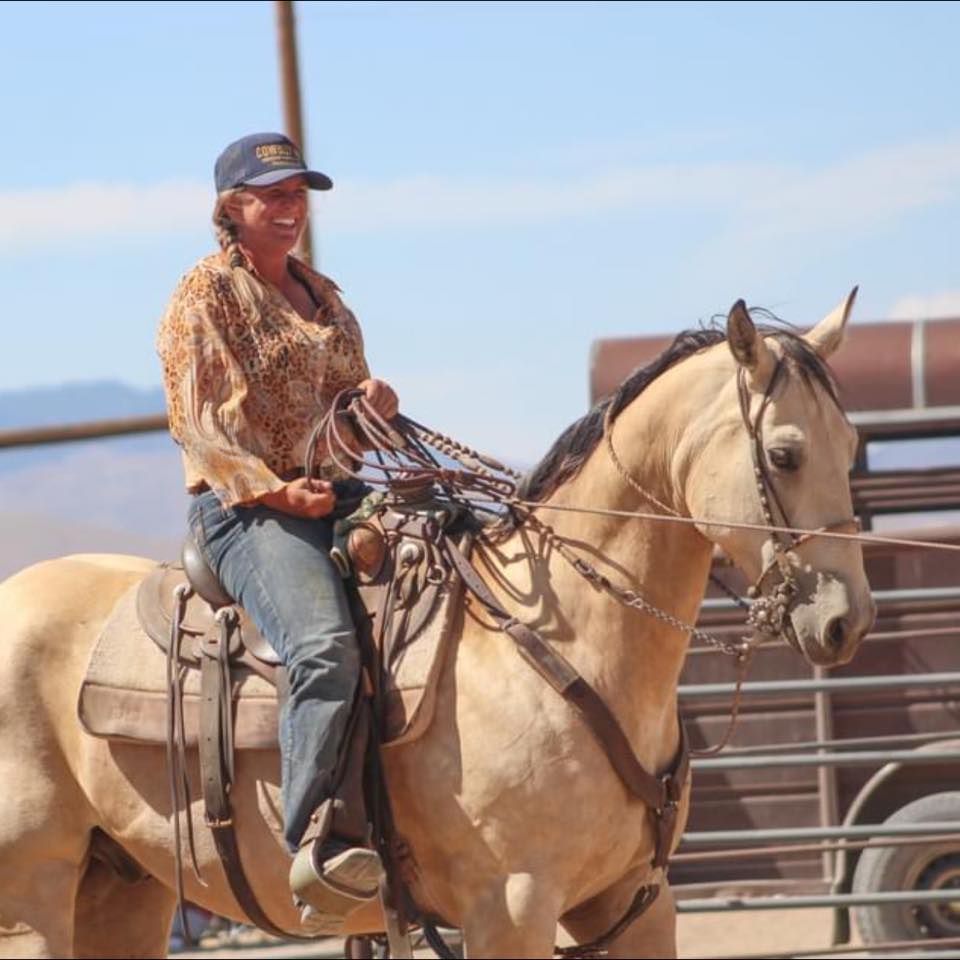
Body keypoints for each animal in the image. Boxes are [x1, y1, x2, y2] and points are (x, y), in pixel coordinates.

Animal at [0, 295, 875, 959]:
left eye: (854, 444)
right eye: (785, 453)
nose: (846, 620)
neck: (560, 646)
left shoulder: (636, 903)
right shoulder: (510, 911)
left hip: (121, 889)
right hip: (32, 899)